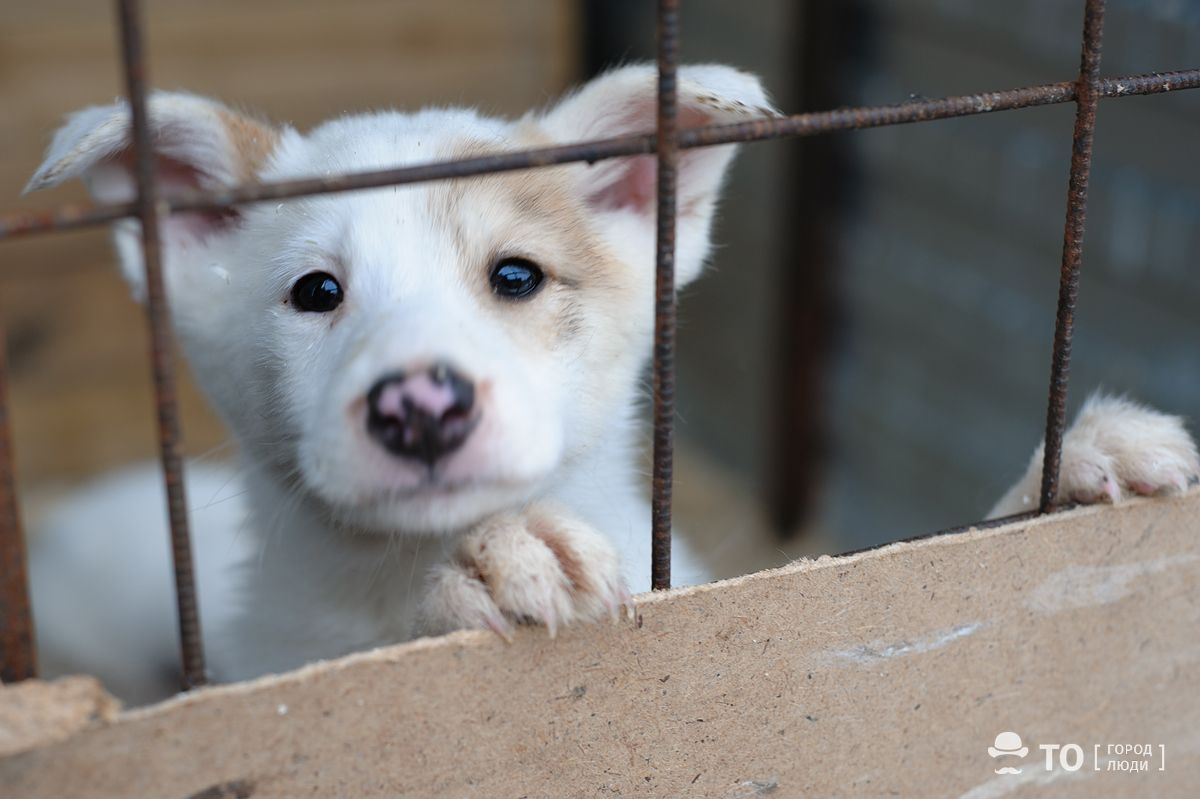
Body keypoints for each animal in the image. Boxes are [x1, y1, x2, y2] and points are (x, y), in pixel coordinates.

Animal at [25, 66, 1200, 705]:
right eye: (316, 292)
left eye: (516, 275)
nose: (420, 407)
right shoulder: (284, 658)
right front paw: (487, 563)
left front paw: (1070, 465)